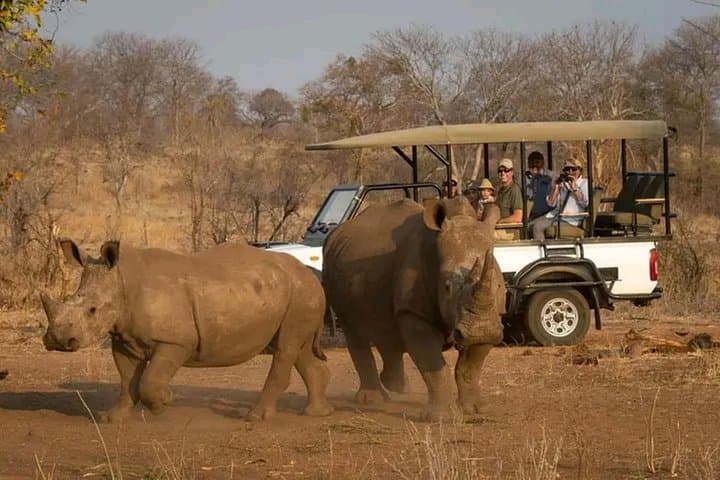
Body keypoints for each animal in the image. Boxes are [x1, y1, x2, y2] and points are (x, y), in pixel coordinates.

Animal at [41, 239, 333, 422]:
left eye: (92, 310)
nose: (57, 340)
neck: (123, 281)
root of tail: (312, 275)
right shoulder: (123, 338)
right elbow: (126, 379)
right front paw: (113, 418)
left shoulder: (176, 341)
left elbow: (150, 380)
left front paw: (163, 403)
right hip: (296, 294)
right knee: (299, 349)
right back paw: (317, 413)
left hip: (300, 295)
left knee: (286, 348)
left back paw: (256, 417)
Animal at [322, 197, 505, 419]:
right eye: (447, 288)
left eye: (499, 286)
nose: (480, 330)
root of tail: (336, 232)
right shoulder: (413, 311)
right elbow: (433, 366)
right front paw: (441, 417)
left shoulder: (491, 316)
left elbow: (470, 366)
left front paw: (476, 409)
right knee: (355, 330)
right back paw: (372, 399)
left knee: (385, 328)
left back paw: (398, 388)